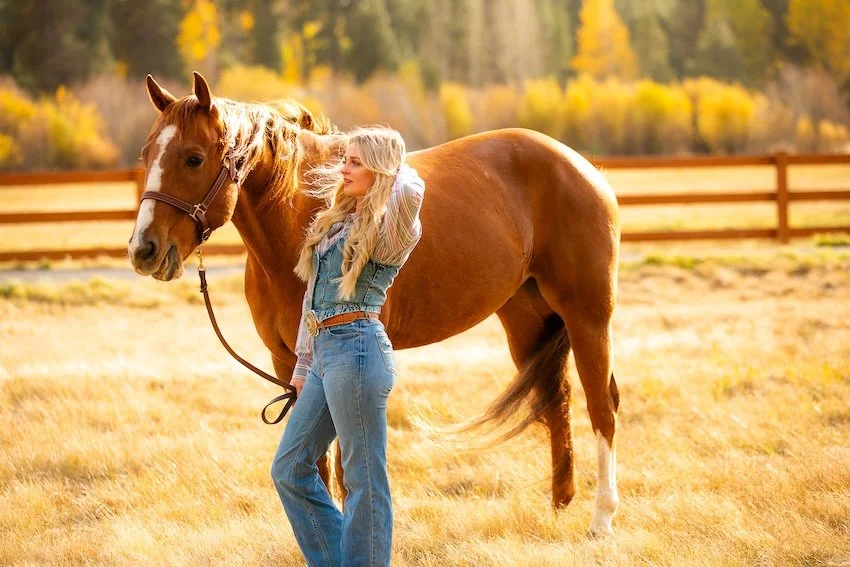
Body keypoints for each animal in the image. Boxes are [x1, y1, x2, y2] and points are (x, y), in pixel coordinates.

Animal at [128, 72, 621, 535]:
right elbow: (318, 463)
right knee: (557, 401)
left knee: (602, 406)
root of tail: (582, 167)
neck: (303, 216)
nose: (143, 250)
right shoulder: (290, 363)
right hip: (526, 320)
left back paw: (601, 519)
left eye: (193, 158)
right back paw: (560, 503)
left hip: (588, 318)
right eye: (147, 155)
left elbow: (347, 470)